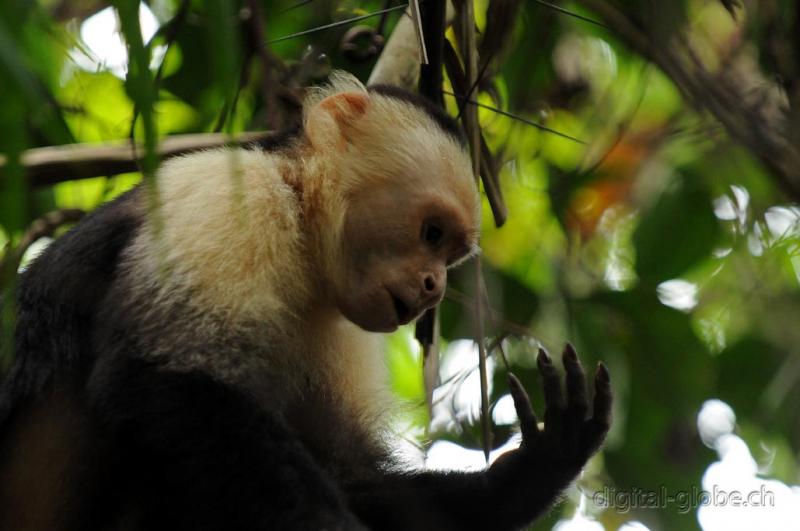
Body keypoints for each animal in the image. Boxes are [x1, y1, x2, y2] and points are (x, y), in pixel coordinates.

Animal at [0, 74, 612, 531]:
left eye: (453, 256)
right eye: (431, 234)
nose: (434, 286)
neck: (299, 231)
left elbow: (351, 475)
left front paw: (535, 469)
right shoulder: (232, 193)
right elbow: (157, 379)